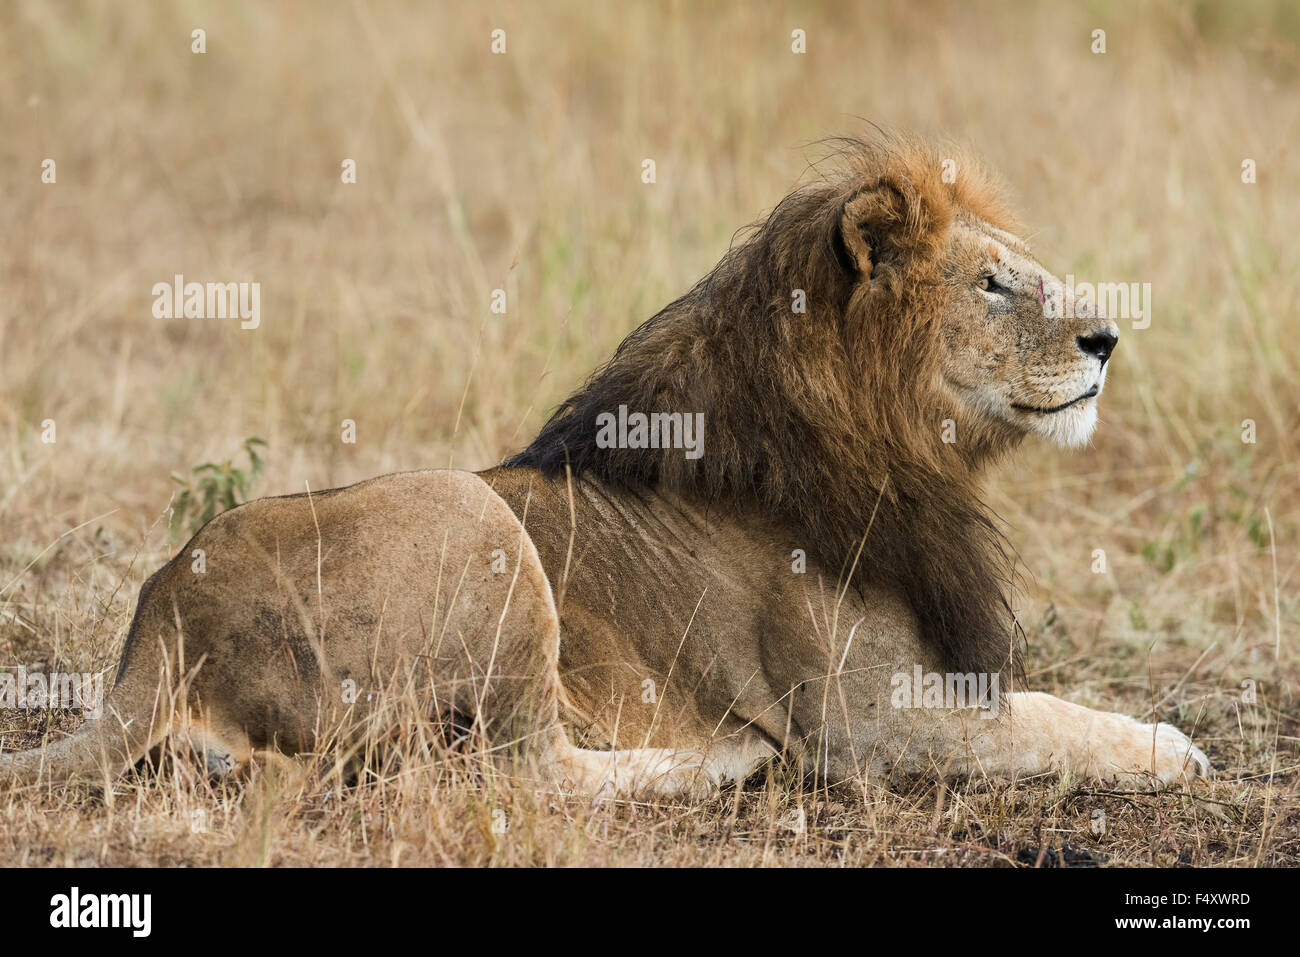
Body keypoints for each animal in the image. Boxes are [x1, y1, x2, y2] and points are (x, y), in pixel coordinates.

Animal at [5, 130, 1211, 795]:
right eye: (992, 285)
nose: (1108, 337)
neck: (896, 448)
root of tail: (160, 614)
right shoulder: (876, 720)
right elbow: (1060, 723)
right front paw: (1175, 748)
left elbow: (1051, 704)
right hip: (474, 522)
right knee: (515, 768)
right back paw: (710, 765)